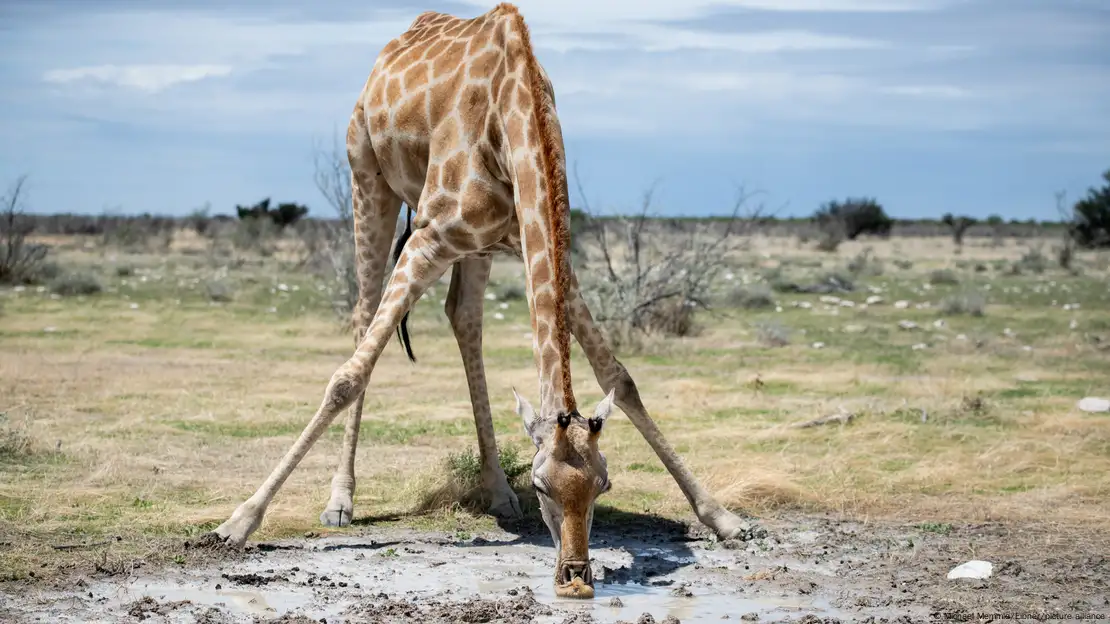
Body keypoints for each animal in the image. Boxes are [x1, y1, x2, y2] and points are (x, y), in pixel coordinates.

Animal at [204, 3, 750, 599]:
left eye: (603, 484)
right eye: (542, 486)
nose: (576, 578)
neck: (513, 113)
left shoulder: (547, 254)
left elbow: (621, 378)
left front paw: (722, 517)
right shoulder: (427, 239)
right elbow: (347, 378)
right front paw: (237, 522)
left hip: (478, 247)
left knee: (463, 318)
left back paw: (496, 492)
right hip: (366, 177)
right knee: (364, 317)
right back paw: (341, 501)